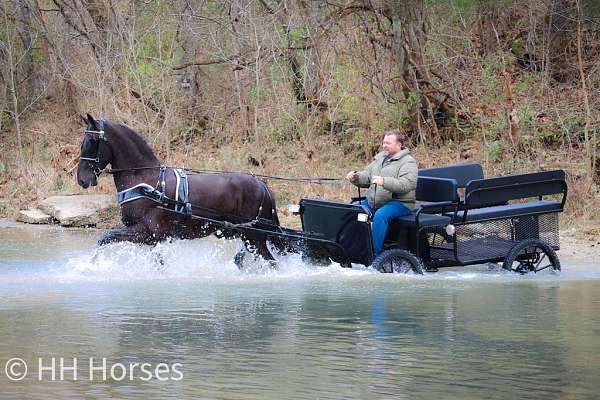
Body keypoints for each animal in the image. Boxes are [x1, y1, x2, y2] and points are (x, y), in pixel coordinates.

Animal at [76, 114, 280, 268]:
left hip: (254, 237)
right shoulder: (152, 238)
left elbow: (104, 237)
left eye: (92, 141)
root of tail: (262, 185)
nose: (82, 179)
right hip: (246, 236)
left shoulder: (148, 233)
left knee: (271, 262)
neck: (145, 182)